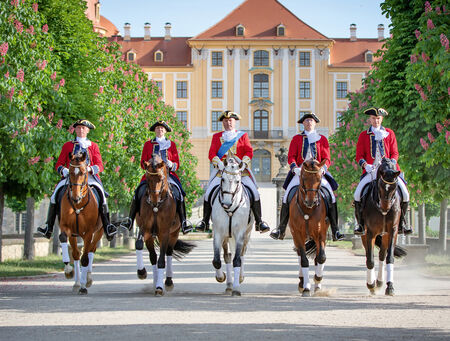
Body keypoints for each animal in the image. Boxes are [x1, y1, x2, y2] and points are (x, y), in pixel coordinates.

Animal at [58, 150, 102, 294]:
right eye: (71, 172)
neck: (78, 205)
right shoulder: (67, 228)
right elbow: (72, 250)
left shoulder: (88, 232)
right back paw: (77, 282)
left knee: (91, 251)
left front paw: (83, 286)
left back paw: (87, 279)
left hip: (99, 232)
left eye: (83, 172)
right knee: (77, 254)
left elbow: (85, 258)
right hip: (75, 235)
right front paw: (68, 271)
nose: (75, 198)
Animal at [135, 152, 195, 294]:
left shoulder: (165, 232)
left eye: (161, 178)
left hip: (173, 234)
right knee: (153, 256)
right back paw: (155, 280)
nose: (154, 200)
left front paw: (159, 287)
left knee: (168, 253)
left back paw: (167, 281)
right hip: (151, 236)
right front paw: (141, 272)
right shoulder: (145, 228)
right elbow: (139, 244)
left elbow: (162, 260)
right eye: (148, 178)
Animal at [211, 154, 253, 294]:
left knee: (242, 253)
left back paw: (239, 278)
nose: (226, 204)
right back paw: (229, 283)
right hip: (226, 236)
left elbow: (238, 259)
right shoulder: (218, 233)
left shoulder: (240, 234)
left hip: (247, 234)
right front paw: (221, 277)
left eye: (238, 181)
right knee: (227, 256)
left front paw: (237, 288)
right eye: (222, 179)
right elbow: (217, 260)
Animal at [290, 159, 328, 294]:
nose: (311, 201)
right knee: (300, 255)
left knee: (316, 256)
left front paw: (317, 279)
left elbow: (321, 257)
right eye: (304, 177)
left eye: (319, 178)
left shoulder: (321, 234)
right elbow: (304, 260)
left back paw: (317, 284)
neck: (308, 210)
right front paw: (306, 286)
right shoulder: (298, 234)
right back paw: (302, 282)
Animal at [360, 158, 406, 294]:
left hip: (385, 235)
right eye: (380, 184)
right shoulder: (370, 232)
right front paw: (371, 285)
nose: (385, 208)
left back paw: (380, 282)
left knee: (381, 255)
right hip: (365, 235)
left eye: (395, 186)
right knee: (368, 255)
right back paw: (373, 284)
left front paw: (390, 287)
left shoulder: (393, 231)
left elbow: (389, 257)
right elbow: (370, 259)